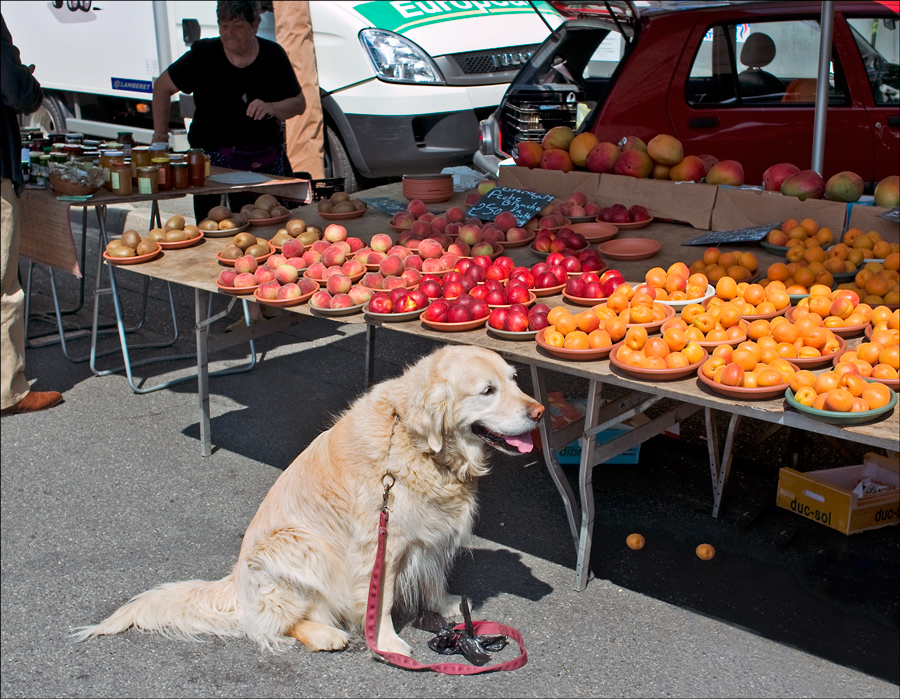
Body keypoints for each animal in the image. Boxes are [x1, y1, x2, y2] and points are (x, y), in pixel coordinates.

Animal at [75, 346, 540, 656]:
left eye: (515, 380)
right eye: (487, 390)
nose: (538, 413)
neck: (420, 445)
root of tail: (236, 582)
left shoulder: (429, 533)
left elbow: (433, 577)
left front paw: (445, 605)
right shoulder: (380, 542)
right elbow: (382, 600)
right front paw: (387, 642)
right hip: (297, 544)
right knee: (272, 624)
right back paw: (326, 634)